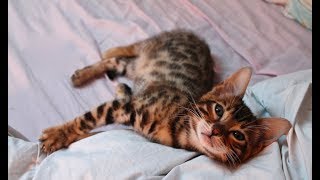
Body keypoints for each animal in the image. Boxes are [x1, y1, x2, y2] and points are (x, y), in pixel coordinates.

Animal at [38, 29, 292, 166]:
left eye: (238, 135)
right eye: (218, 110)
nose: (215, 130)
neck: (178, 125)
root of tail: (199, 40)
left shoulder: (131, 104)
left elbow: (114, 103)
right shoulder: (129, 105)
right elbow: (88, 118)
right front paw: (58, 135)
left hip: (142, 68)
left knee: (121, 65)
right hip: (151, 53)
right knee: (128, 52)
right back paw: (93, 66)